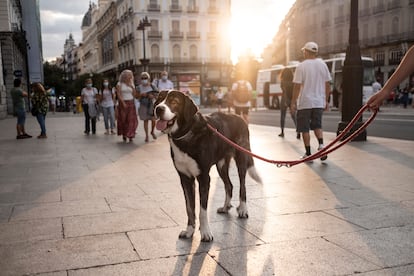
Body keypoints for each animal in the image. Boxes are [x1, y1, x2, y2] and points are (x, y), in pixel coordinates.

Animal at [154, 90, 260, 242]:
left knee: (242, 186)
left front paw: (205, 232)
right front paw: (189, 231)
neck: (184, 135)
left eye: (174, 102)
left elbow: (202, 211)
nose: (158, 109)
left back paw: (243, 209)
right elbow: (189, 208)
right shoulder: (185, 179)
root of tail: (239, 117)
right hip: (221, 165)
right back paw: (225, 207)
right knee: (229, 185)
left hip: (241, 159)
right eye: (159, 100)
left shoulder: (204, 178)